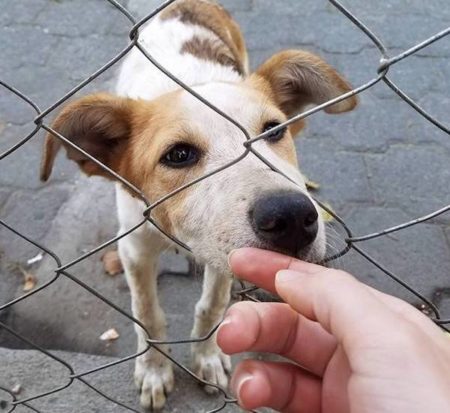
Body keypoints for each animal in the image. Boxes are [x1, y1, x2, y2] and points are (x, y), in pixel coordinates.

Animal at [39, 0, 356, 408]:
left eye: (274, 130)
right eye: (178, 155)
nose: (292, 217)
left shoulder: (221, 253)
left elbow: (211, 306)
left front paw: (207, 357)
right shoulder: (134, 247)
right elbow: (147, 313)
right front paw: (154, 371)